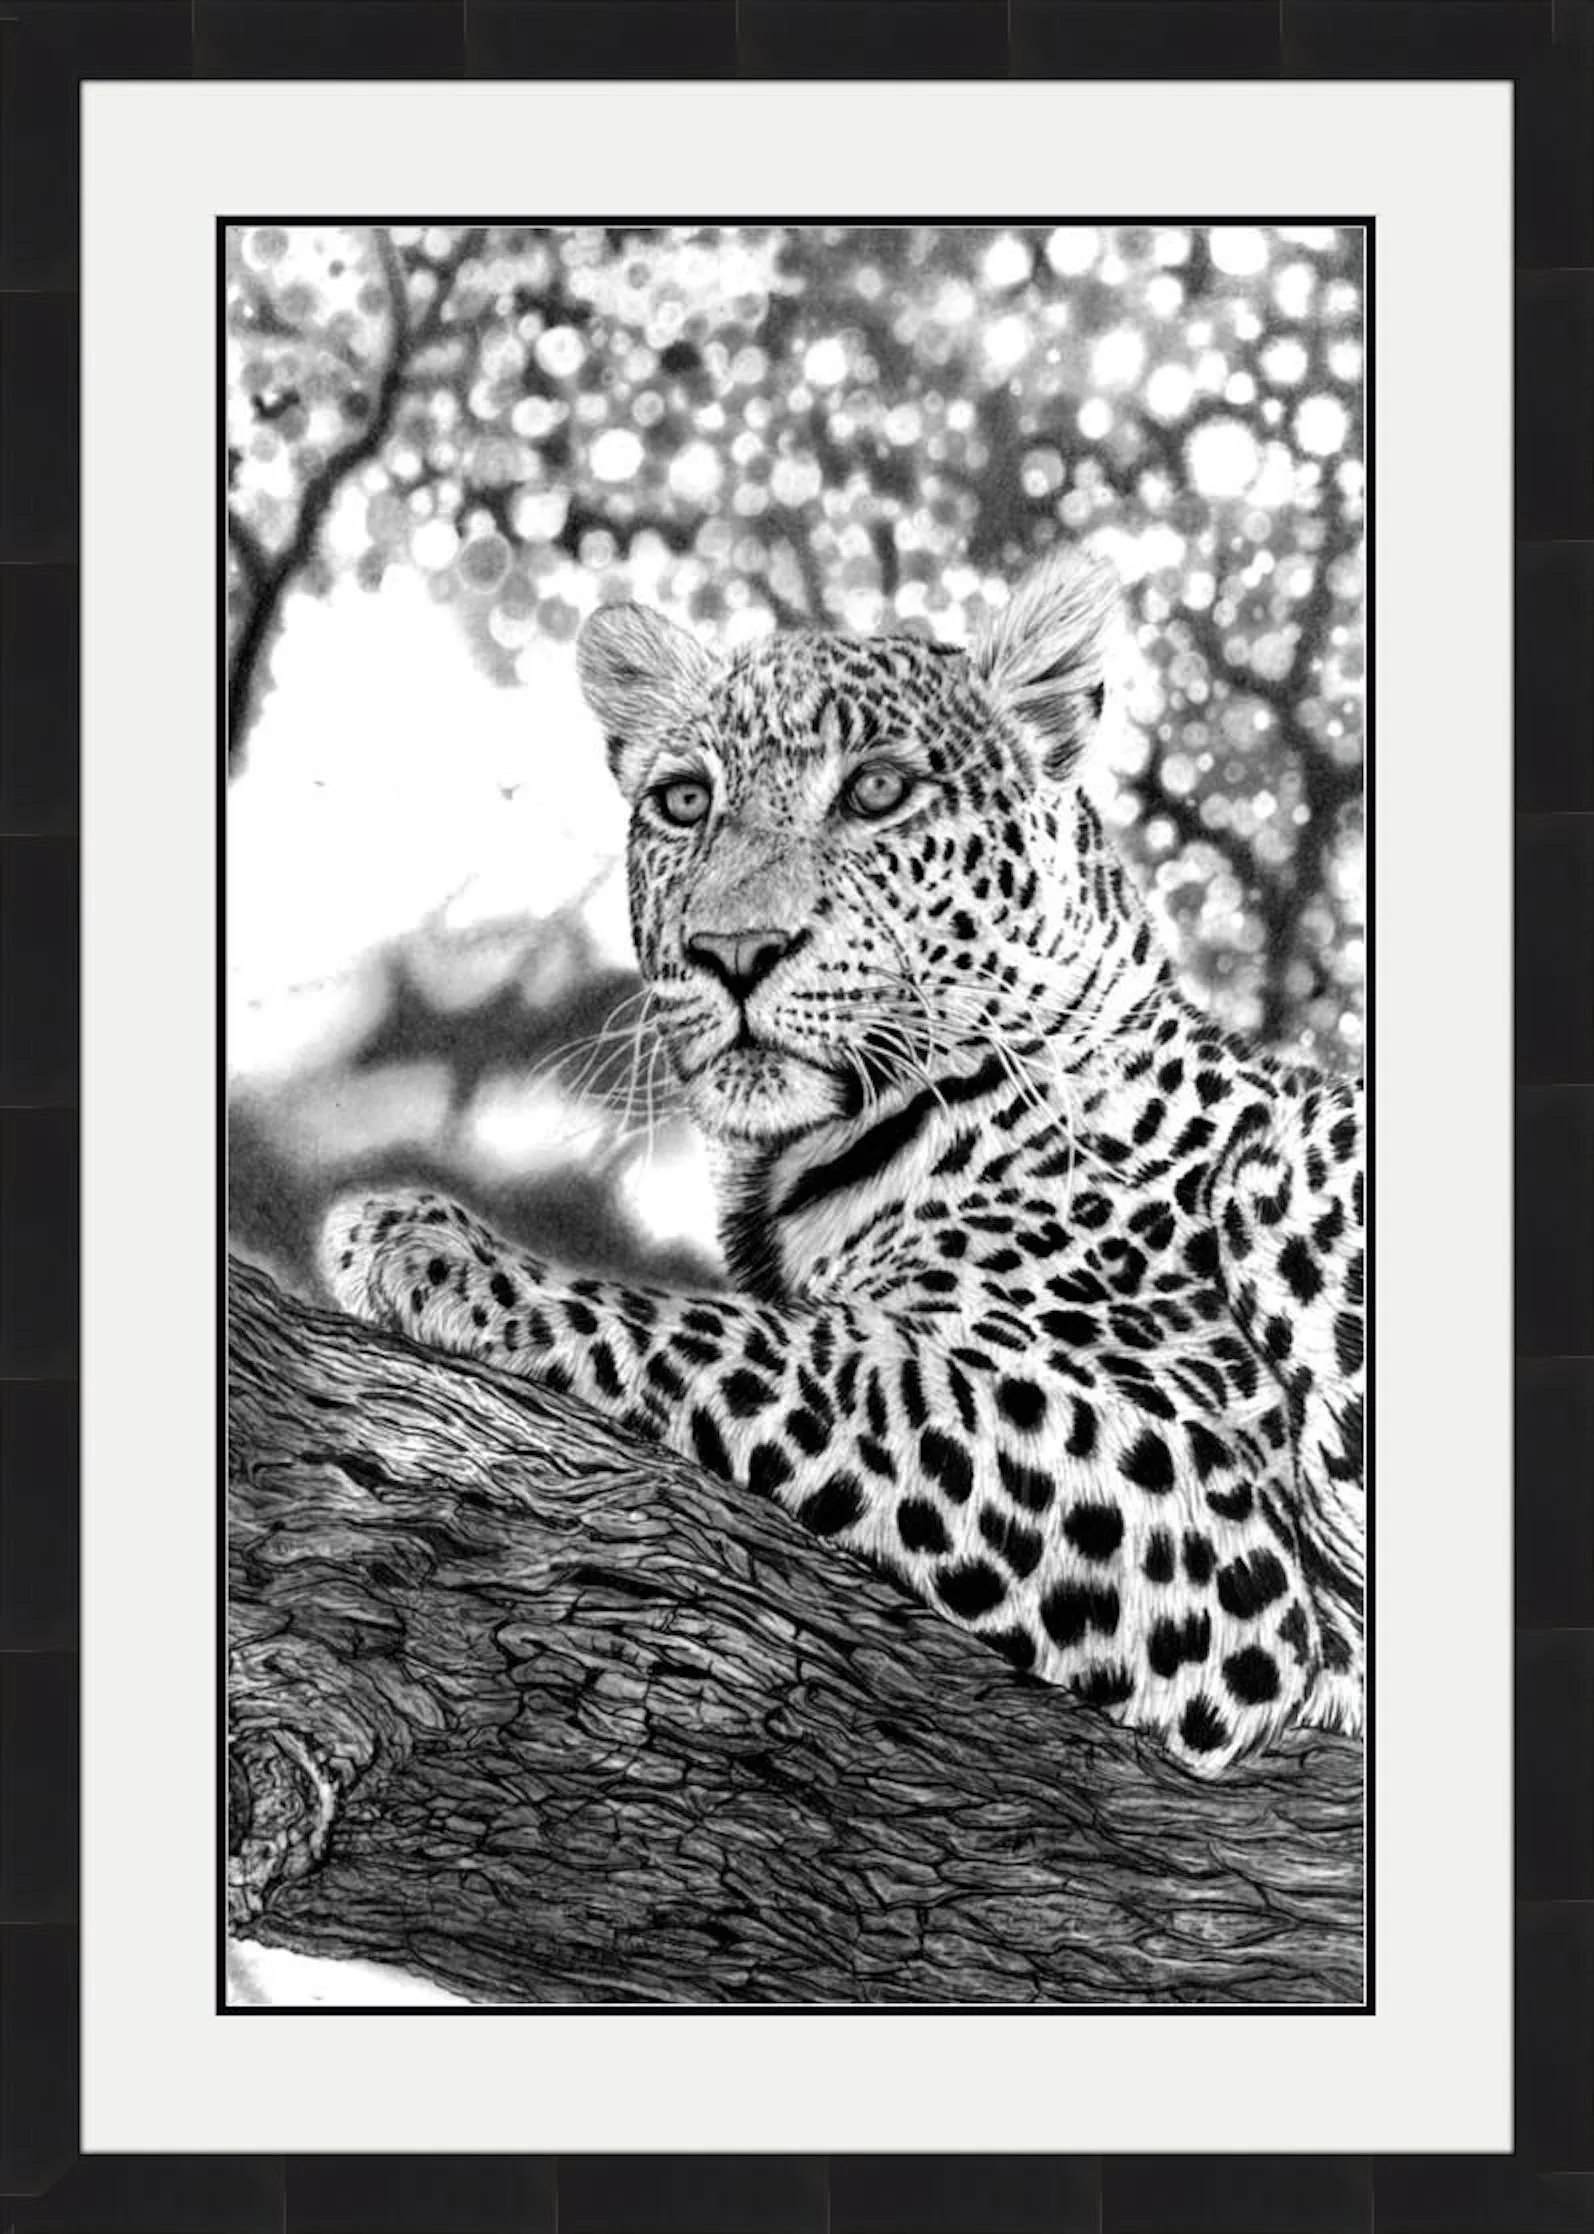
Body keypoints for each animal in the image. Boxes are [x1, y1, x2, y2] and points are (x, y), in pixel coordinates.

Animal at [320, 544, 1364, 1777]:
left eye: (875, 792)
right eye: (685, 801)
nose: (733, 952)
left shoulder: (1209, 1504)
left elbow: (800, 1348)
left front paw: (430, 1247)